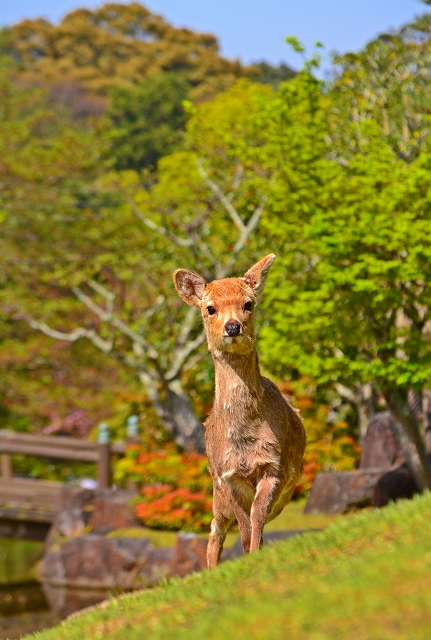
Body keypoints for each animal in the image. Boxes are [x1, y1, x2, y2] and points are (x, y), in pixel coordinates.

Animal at [173, 252, 308, 568]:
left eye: (249, 303)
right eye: (210, 308)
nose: (233, 327)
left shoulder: (273, 466)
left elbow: (256, 519)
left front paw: (255, 556)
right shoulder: (227, 475)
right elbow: (244, 527)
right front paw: (249, 556)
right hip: (215, 490)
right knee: (215, 528)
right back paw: (210, 569)